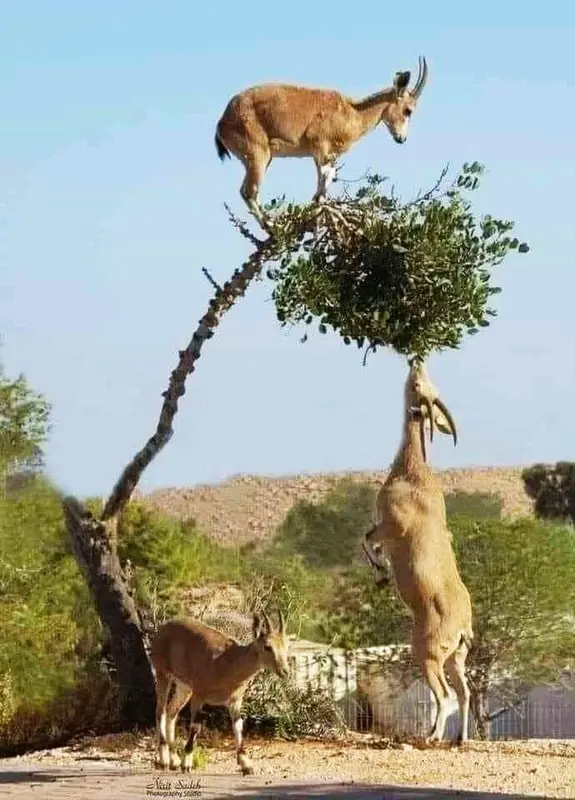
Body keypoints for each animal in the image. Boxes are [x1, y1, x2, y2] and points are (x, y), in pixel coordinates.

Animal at [149, 610, 289, 774]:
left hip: (184, 687)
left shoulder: (235, 701)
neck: (226, 664)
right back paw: (164, 759)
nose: (285, 671)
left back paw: (174, 760)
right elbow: (195, 727)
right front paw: (187, 764)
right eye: (267, 646)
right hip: (163, 673)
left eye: (286, 645)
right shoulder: (199, 695)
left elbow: (238, 726)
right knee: (161, 710)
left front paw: (246, 765)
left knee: (172, 711)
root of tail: (162, 629)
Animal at [215, 57, 428, 221]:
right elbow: (325, 178)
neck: (352, 113)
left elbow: (324, 183)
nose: (402, 138)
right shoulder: (320, 148)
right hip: (257, 155)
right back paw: (275, 227)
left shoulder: (325, 155)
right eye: (408, 110)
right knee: (249, 192)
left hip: (262, 159)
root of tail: (223, 121)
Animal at [362, 359, 473, 744]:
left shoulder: (390, 527)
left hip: (428, 654)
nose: (416, 362)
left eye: (420, 387)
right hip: (456, 657)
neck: (412, 473)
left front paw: (382, 574)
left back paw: (431, 736)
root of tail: (463, 626)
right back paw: (459, 738)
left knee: (445, 694)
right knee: (465, 692)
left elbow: (367, 539)